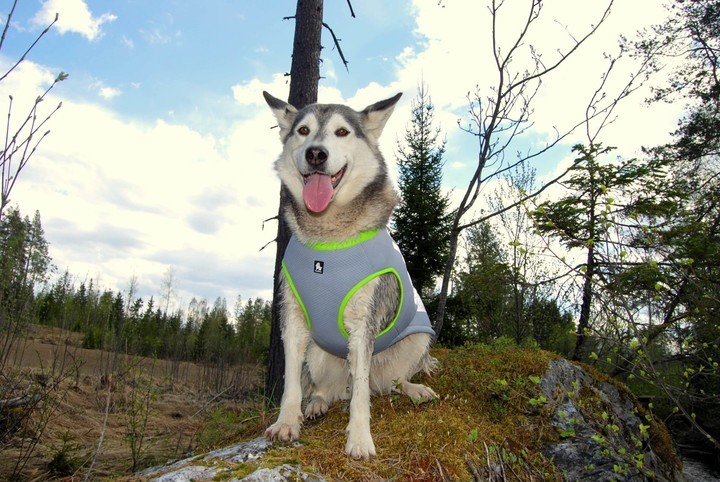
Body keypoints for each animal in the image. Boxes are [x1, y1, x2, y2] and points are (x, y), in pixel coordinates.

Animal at [262, 91, 436, 460]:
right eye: (303, 130)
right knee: (329, 389)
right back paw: (317, 403)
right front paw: (287, 422)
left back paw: (414, 389)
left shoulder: (362, 324)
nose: (316, 153)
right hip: (318, 352)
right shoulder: (293, 319)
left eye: (342, 132)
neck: (328, 241)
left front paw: (359, 439)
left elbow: (360, 396)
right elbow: (291, 384)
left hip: (418, 337)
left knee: (384, 384)